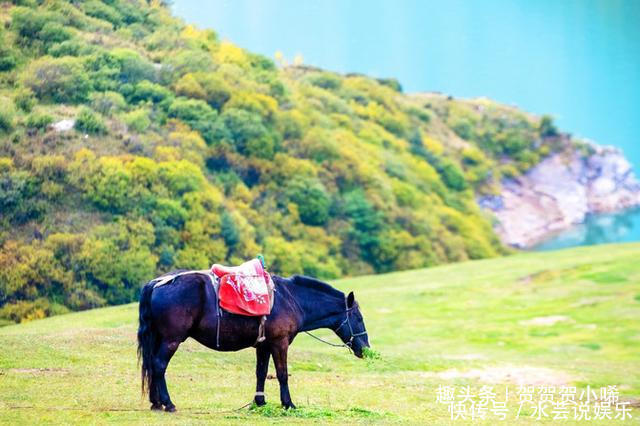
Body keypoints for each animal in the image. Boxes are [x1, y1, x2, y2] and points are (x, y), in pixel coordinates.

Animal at [139, 272, 370, 410]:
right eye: (359, 318)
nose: (365, 349)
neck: (291, 298)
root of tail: (157, 283)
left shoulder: (264, 345)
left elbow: (261, 372)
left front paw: (260, 401)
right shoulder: (279, 343)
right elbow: (282, 374)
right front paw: (288, 403)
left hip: (159, 338)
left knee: (151, 365)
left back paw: (156, 402)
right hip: (171, 340)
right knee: (159, 365)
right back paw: (167, 403)